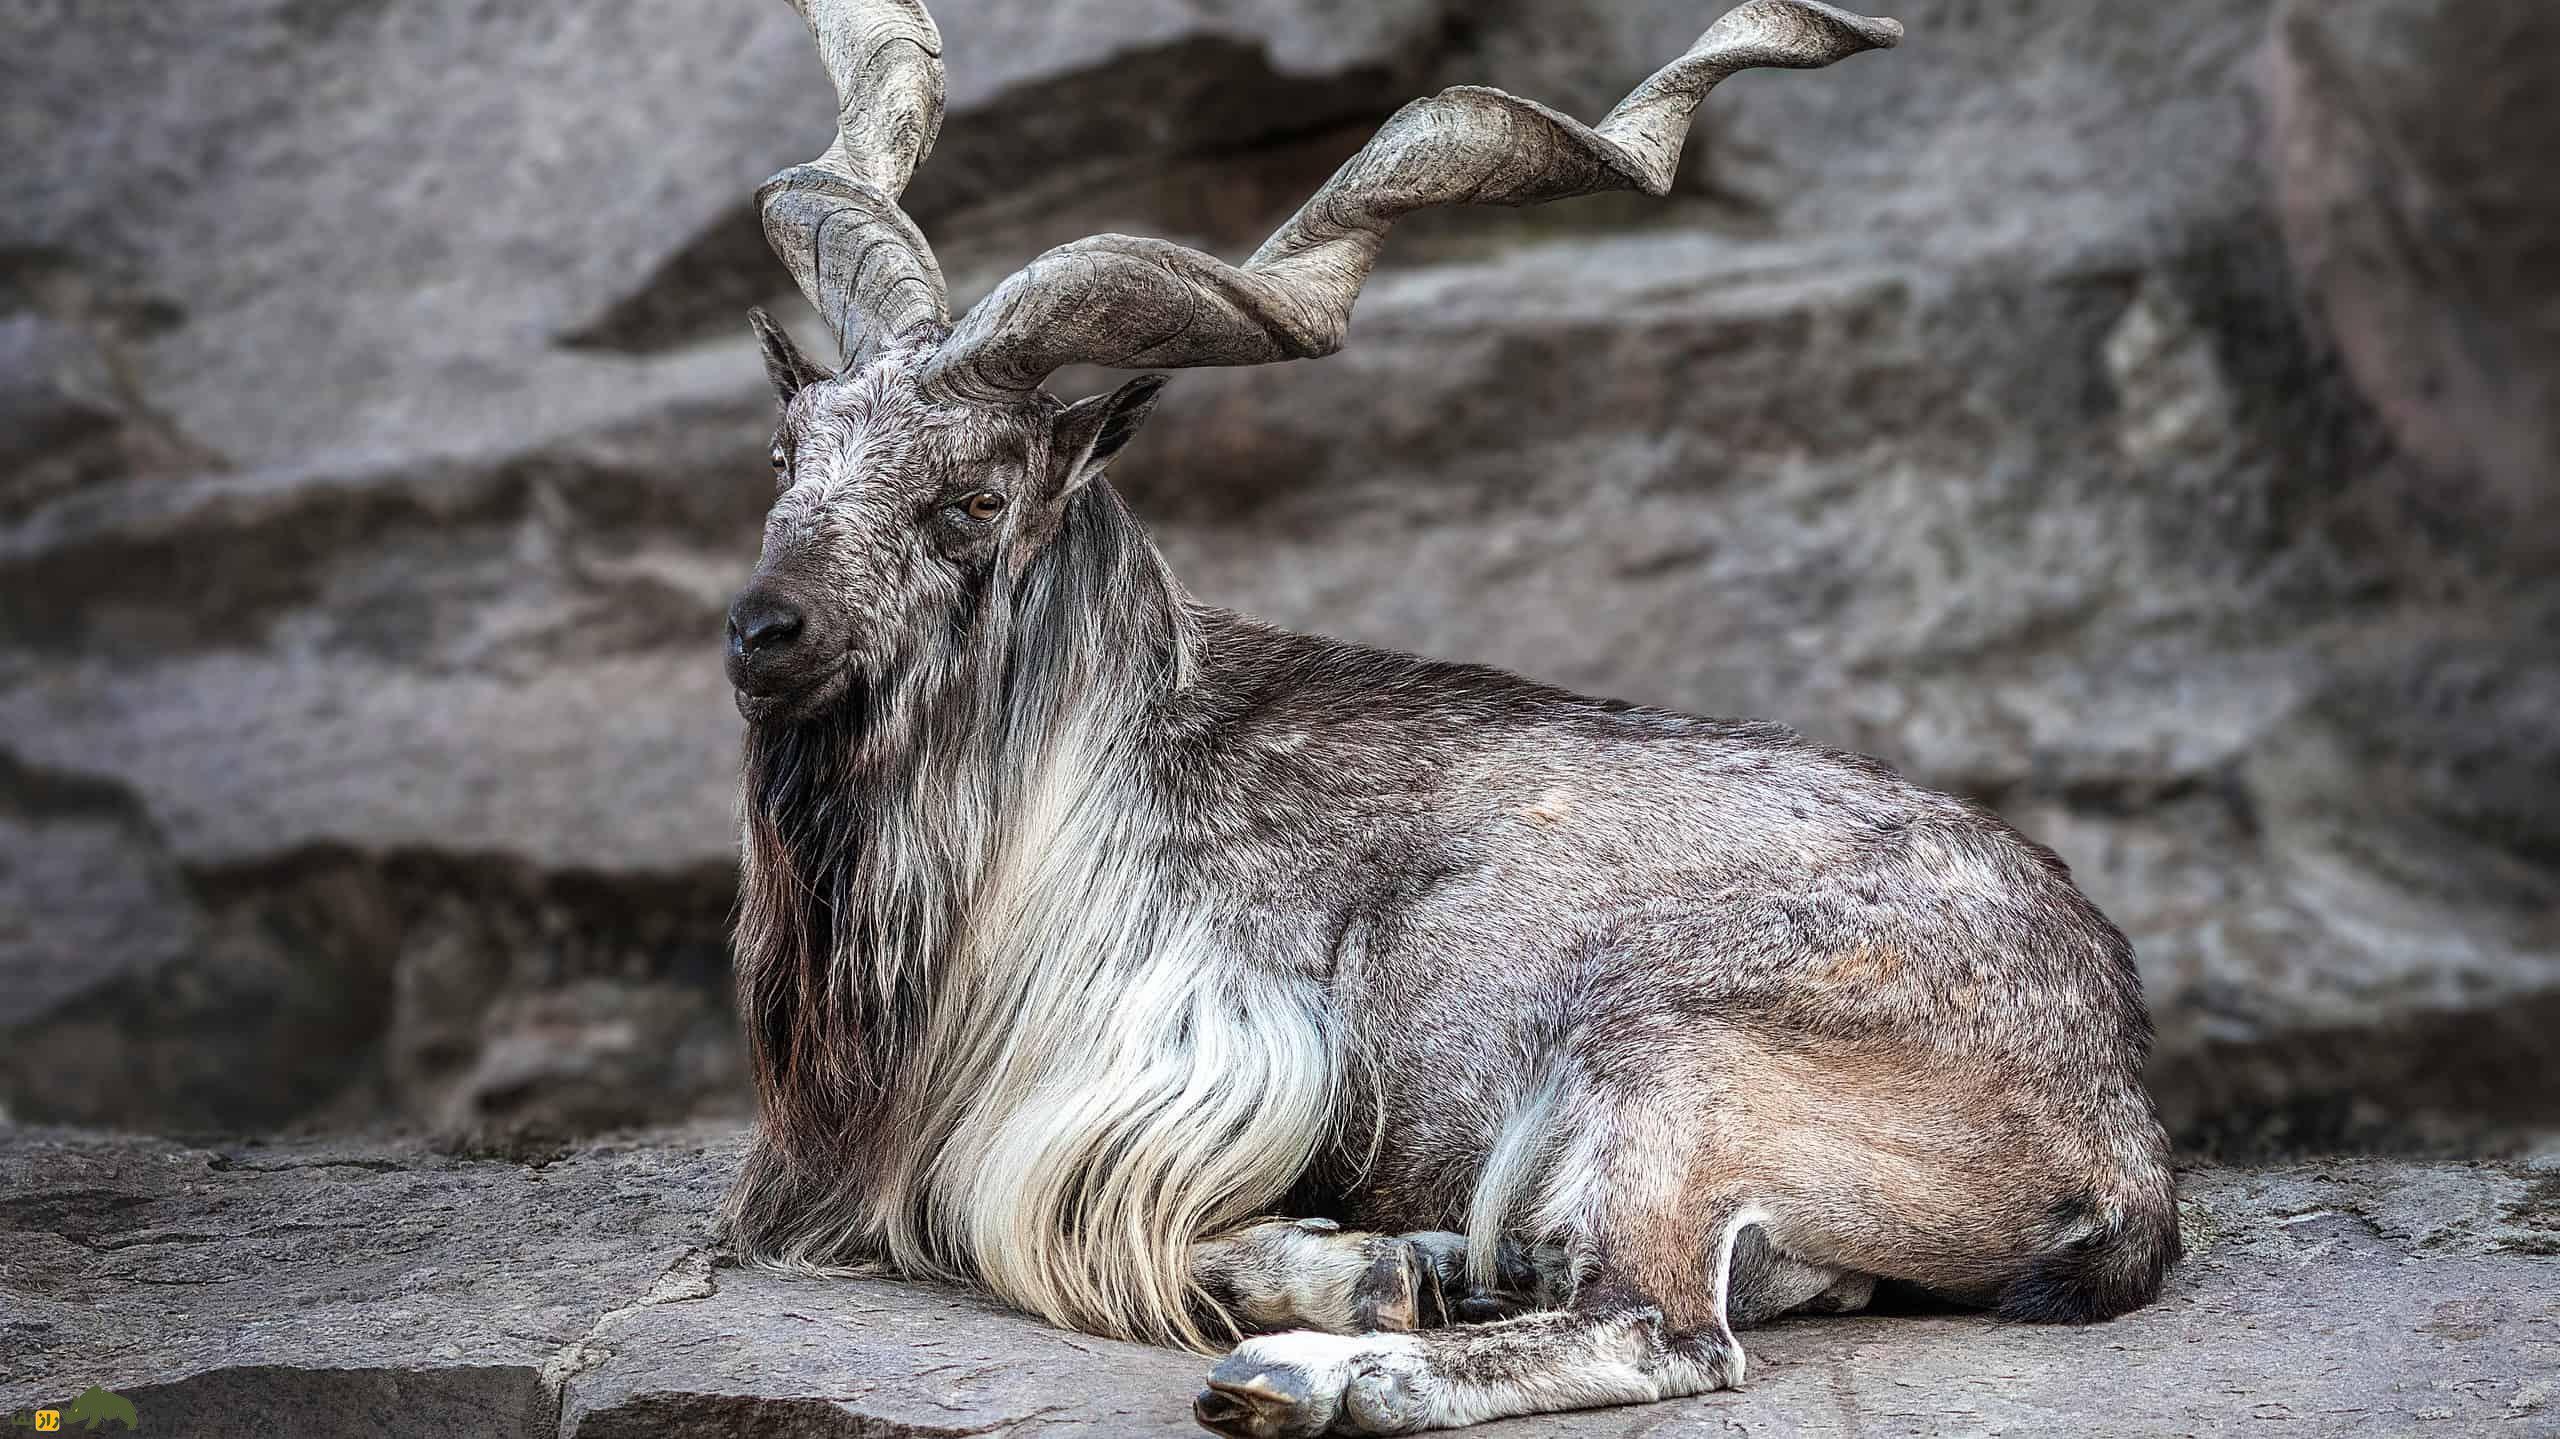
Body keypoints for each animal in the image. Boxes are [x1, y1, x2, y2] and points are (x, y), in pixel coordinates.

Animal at [721, 5, 2181, 1423]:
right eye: (790, 454)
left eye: (970, 498)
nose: (762, 629)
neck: (1087, 778)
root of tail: (2118, 1121)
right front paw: (1388, 1262)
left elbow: (1012, 1223)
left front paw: (1356, 1276)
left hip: (1670, 1061)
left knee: (1660, 1324)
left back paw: (1313, 1371)